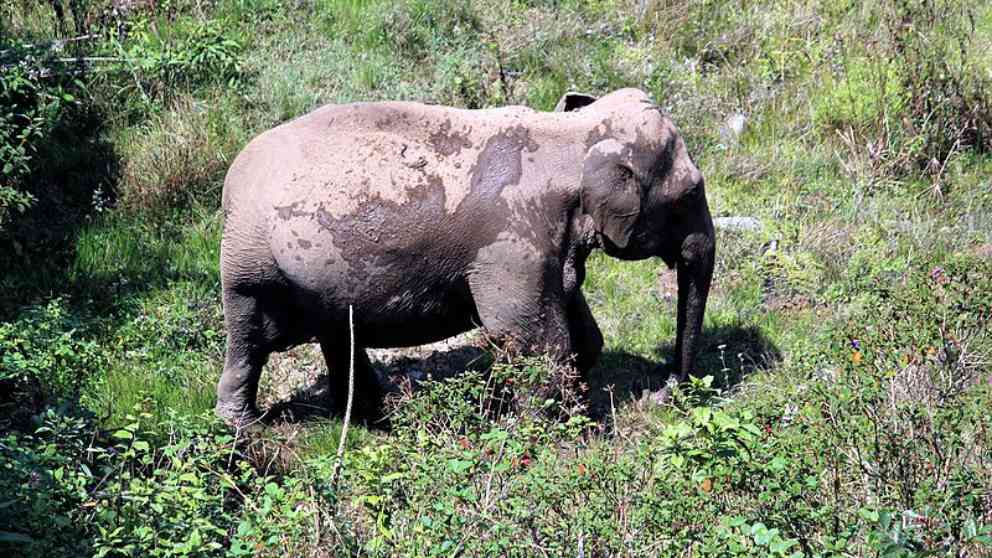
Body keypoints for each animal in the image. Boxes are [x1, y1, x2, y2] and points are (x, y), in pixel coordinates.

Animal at [216, 87, 715, 424]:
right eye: (692, 193)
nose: (660, 394)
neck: (567, 134)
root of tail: (230, 180)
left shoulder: (542, 245)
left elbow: (580, 328)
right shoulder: (511, 244)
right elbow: (531, 339)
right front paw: (554, 434)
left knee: (337, 335)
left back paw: (367, 419)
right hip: (250, 266)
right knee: (251, 339)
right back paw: (242, 428)